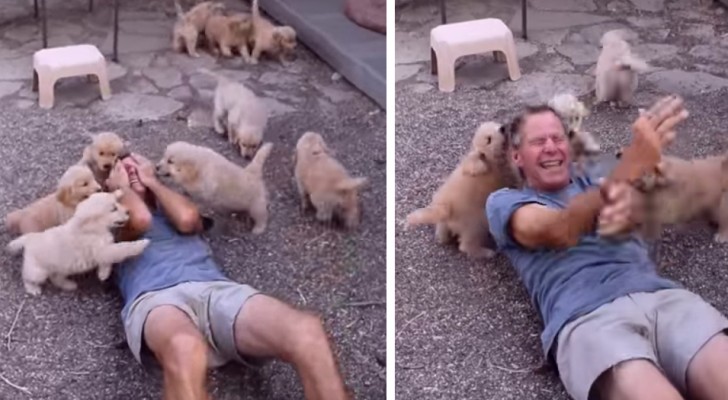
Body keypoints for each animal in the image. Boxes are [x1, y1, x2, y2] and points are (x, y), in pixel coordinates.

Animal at [6, 191, 149, 296]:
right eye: (113, 209)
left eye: (117, 203)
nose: (128, 211)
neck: (92, 228)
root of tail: (30, 238)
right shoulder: (102, 251)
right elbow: (121, 248)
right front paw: (141, 244)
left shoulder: (103, 250)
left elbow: (107, 261)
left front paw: (103, 274)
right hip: (37, 271)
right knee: (27, 277)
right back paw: (32, 288)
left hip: (59, 268)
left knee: (55, 277)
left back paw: (68, 285)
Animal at [404, 122, 516, 260]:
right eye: (489, 139)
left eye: (496, 126)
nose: (503, 128)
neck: (492, 161)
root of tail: (445, 208)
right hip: (477, 224)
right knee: (466, 245)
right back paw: (486, 252)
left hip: (447, 220)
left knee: (442, 231)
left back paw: (443, 238)